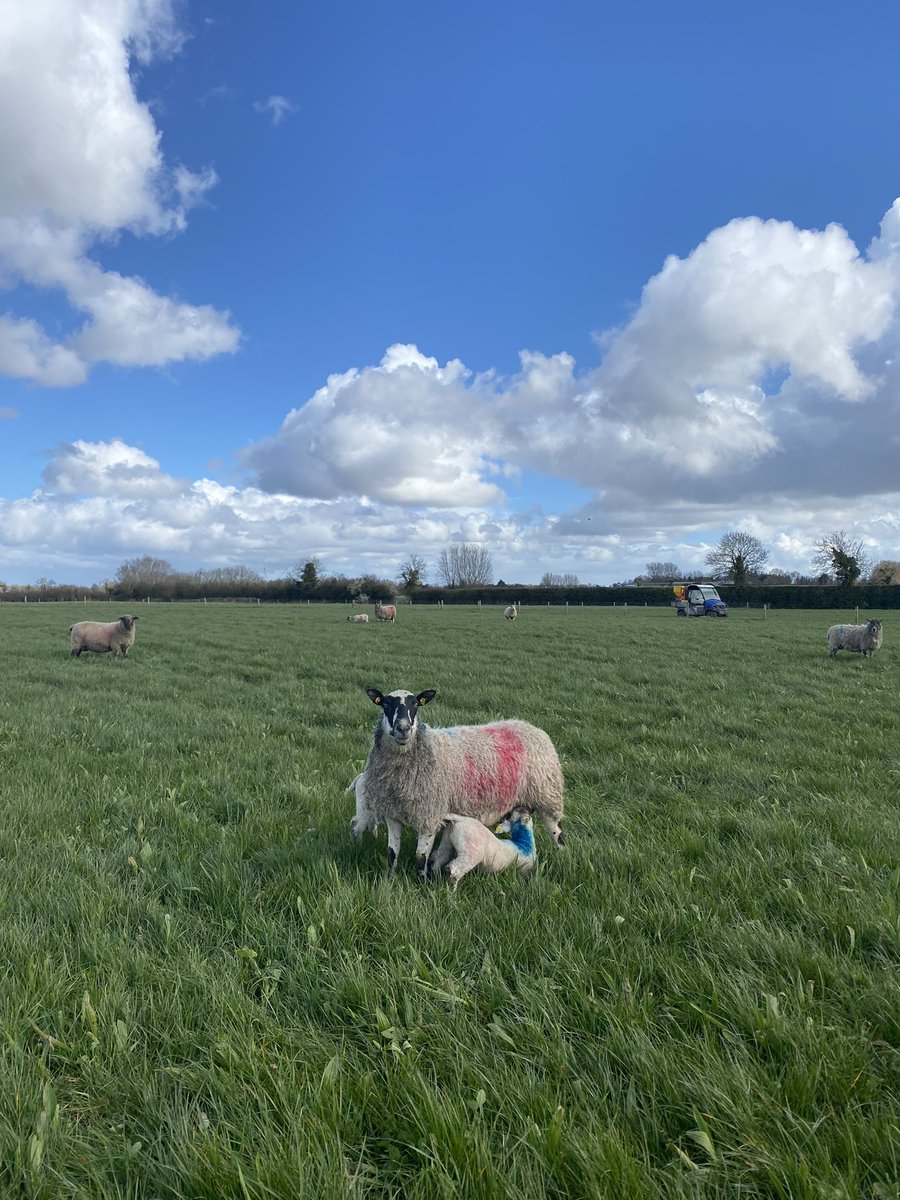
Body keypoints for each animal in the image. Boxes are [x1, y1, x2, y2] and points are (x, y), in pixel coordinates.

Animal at [359, 687, 565, 879]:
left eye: (416, 704)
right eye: (385, 704)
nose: (403, 728)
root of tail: (531, 727)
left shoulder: (429, 815)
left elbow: (420, 857)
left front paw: (422, 882)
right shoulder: (392, 814)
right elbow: (392, 853)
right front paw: (390, 878)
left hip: (547, 795)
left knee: (557, 832)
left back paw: (561, 856)